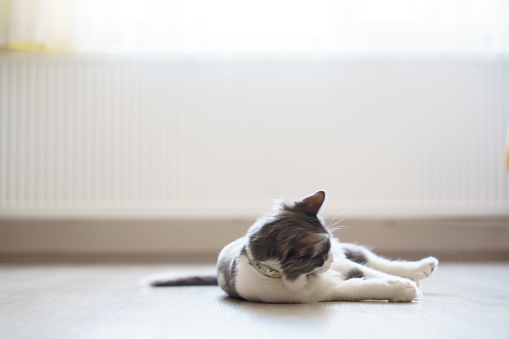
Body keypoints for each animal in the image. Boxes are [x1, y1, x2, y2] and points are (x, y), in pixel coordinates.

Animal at [150, 191, 436, 306]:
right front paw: (405, 289)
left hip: (350, 255)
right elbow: (364, 286)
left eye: (327, 252)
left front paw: (408, 283)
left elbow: (377, 273)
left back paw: (424, 267)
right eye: (321, 256)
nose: (332, 260)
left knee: (372, 259)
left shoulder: (345, 266)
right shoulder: (322, 292)